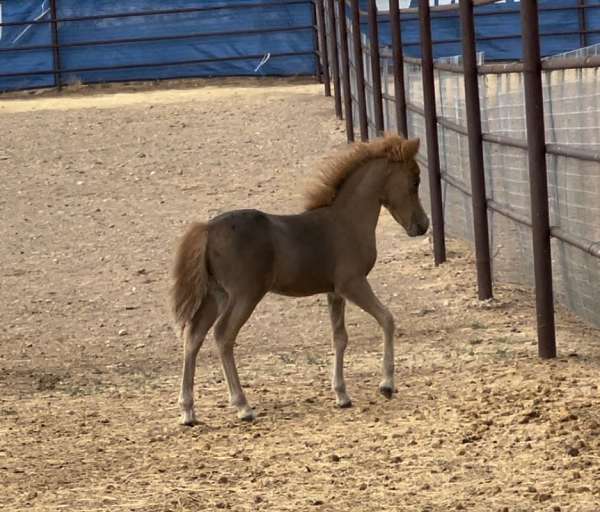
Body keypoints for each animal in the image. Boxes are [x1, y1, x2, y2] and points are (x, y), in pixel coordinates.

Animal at [171, 135, 428, 424]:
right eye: (415, 180)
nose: (423, 225)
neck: (346, 221)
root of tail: (208, 228)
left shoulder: (333, 292)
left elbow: (339, 337)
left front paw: (342, 395)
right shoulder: (353, 283)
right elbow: (387, 319)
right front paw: (386, 385)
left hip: (217, 295)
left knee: (193, 336)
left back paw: (188, 411)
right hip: (244, 295)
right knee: (223, 335)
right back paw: (243, 406)